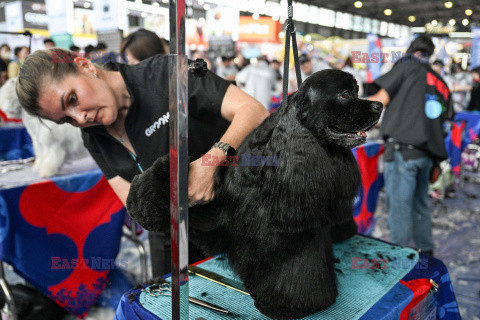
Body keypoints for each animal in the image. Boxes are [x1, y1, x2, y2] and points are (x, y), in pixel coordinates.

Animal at [126, 69, 382, 318]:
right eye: (346, 95)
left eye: (356, 91)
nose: (379, 105)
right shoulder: (221, 219)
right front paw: (142, 199)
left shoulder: (296, 232)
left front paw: (288, 306)